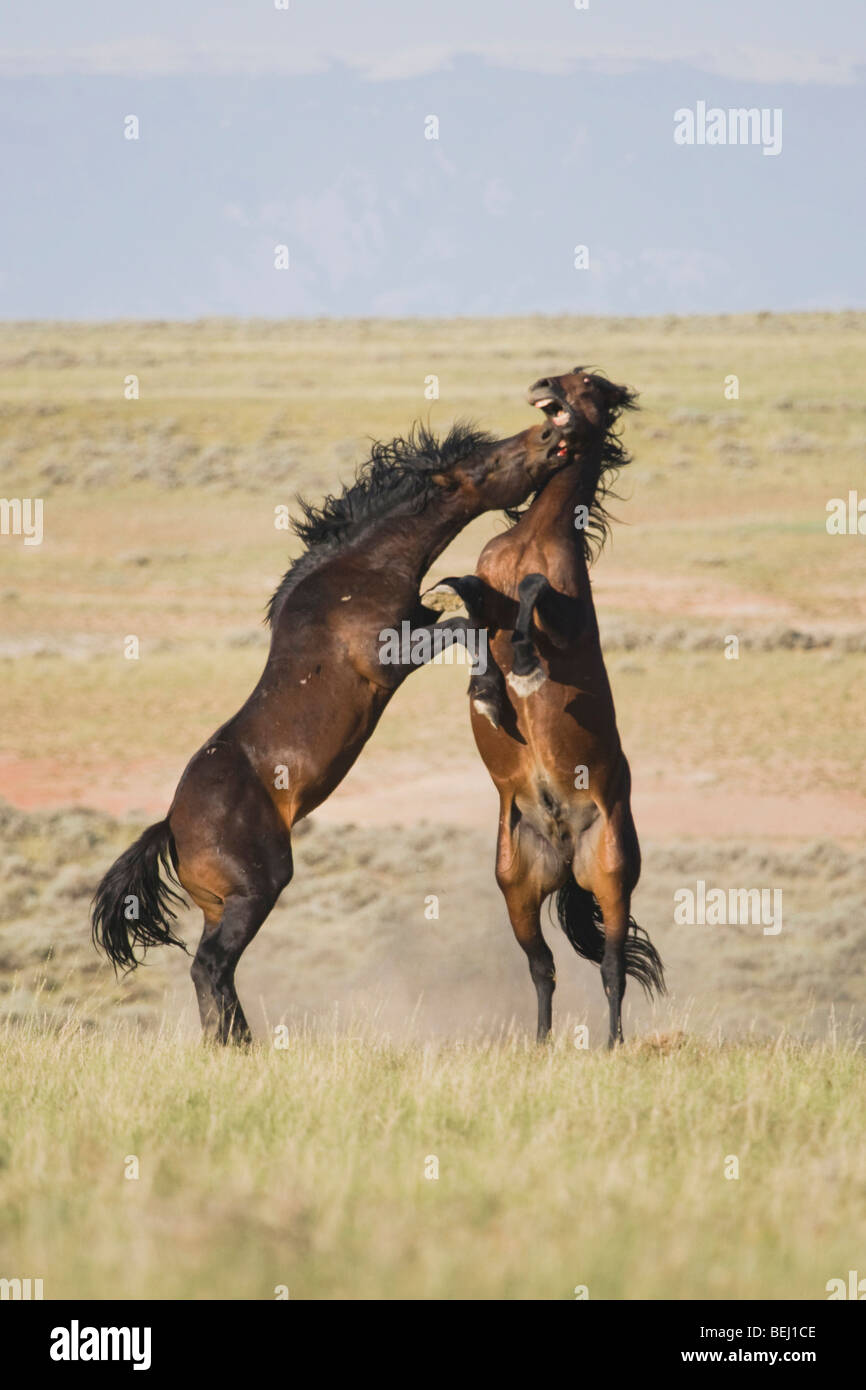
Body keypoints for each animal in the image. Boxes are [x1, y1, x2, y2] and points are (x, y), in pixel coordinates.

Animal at [91, 405, 575, 1039]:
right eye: (488, 462)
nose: (551, 434)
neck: (359, 572)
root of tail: (170, 826)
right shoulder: (391, 656)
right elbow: (466, 629)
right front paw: (492, 698)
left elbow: (466, 608)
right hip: (256, 891)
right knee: (209, 966)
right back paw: (236, 1045)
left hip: (223, 905)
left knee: (216, 971)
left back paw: (238, 1042)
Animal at [430, 369, 667, 1045]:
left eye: (589, 382)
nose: (542, 384)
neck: (533, 537)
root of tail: (563, 847)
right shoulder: (487, 587)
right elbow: (467, 598)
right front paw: (486, 692)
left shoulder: (567, 621)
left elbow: (533, 594)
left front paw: (526, 669)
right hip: (518, 892)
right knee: (544, 969)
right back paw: (540, 1044)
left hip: (612, 879)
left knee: (611, 968)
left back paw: (613, 1045)